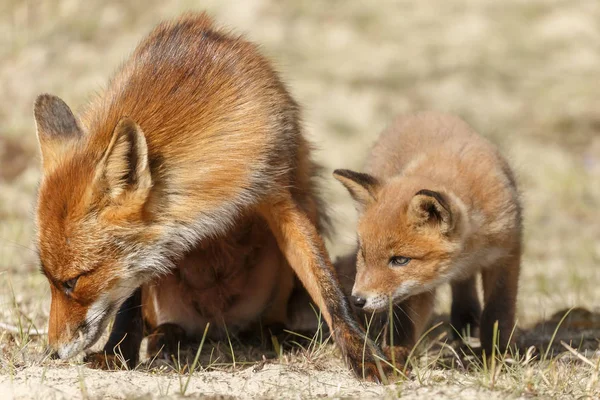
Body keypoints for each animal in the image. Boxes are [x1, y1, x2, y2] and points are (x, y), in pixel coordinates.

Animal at [34, 12, 384, 380]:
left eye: (72, 282)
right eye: (50, 280)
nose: (53, 352)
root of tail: (218, 329)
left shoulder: (275, 191)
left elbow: (329, 288)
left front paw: (364, 356)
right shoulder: (146, 255)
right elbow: (129, 303)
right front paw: (117, 353)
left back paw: (272, 333)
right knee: (165, 325)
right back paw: (165, 339)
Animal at [332, 111, 520, 360]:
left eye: (400, 260)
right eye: (363, 254)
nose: (356, 300)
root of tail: (419, 114)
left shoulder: (506, 252)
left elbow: (498, 312)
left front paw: (497, 355)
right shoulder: (417, 287)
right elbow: (404, 325)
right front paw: (393, 359)